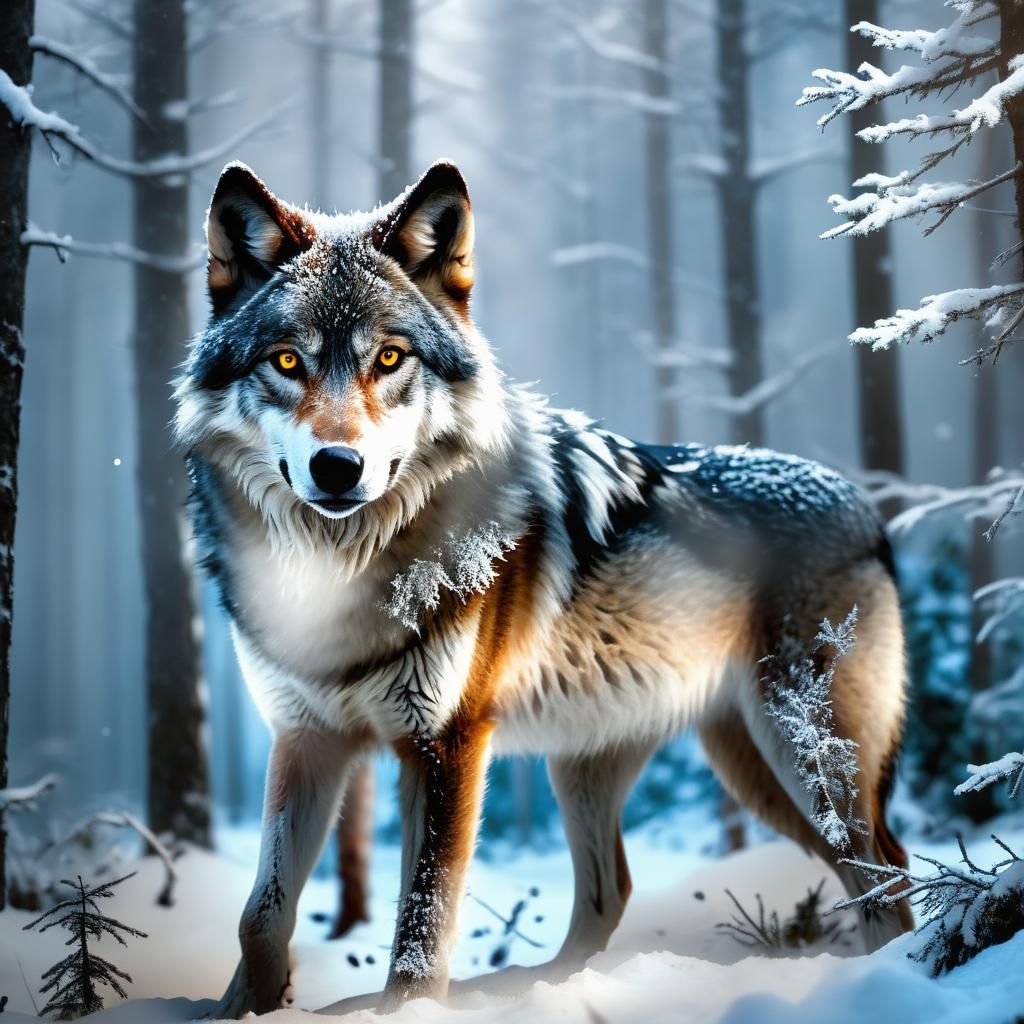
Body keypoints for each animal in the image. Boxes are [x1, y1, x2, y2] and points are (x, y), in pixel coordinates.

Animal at [174, 160, 914, 1016]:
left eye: (389, 360)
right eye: (287, 362)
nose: (337, 467)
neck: (339, 574)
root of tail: (866, 507)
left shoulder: (447, 742)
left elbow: (424, 923)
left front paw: (408, 1010)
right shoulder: (304, 739)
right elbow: (260, 916)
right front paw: (241, 1010)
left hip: (800, 759)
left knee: (885, 872)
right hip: (656, 764)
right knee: (613, 890)